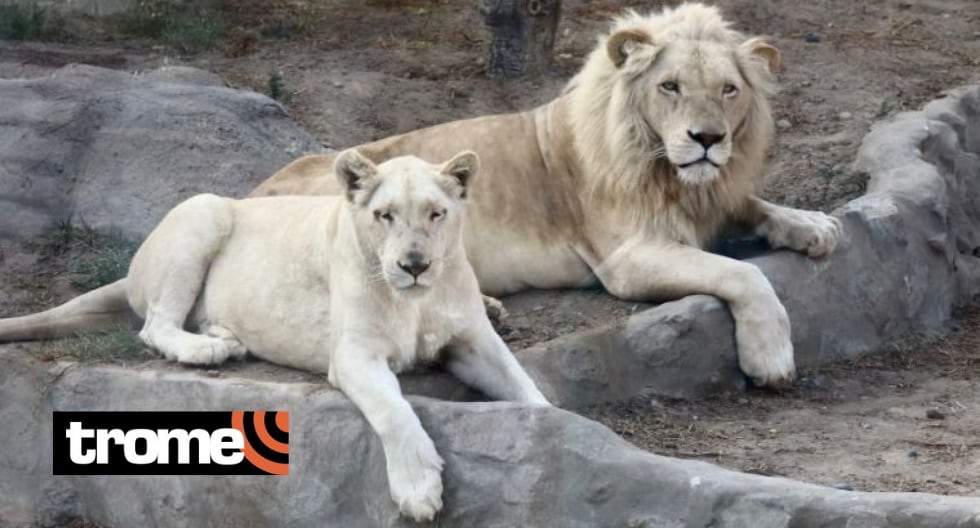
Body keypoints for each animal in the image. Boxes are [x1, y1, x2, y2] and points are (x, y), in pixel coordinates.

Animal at [0, 149, 550, 521]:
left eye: (437, 213)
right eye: (384, 215)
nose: (414, 265)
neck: (416, 300)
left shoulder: (474, 341)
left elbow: (528, 389)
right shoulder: (353, 354)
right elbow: (395, 412)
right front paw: (419, 490)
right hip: (205, 213)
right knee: (155, 326)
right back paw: (212, 348)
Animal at [251, 3, 842, 388]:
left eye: (729, 90)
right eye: (670, 86)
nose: (707, 139)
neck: (672, 175)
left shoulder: (712, 199)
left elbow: (753, 206)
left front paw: (814, 225)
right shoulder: (626, 259)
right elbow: (743, 274)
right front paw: (772, 358)